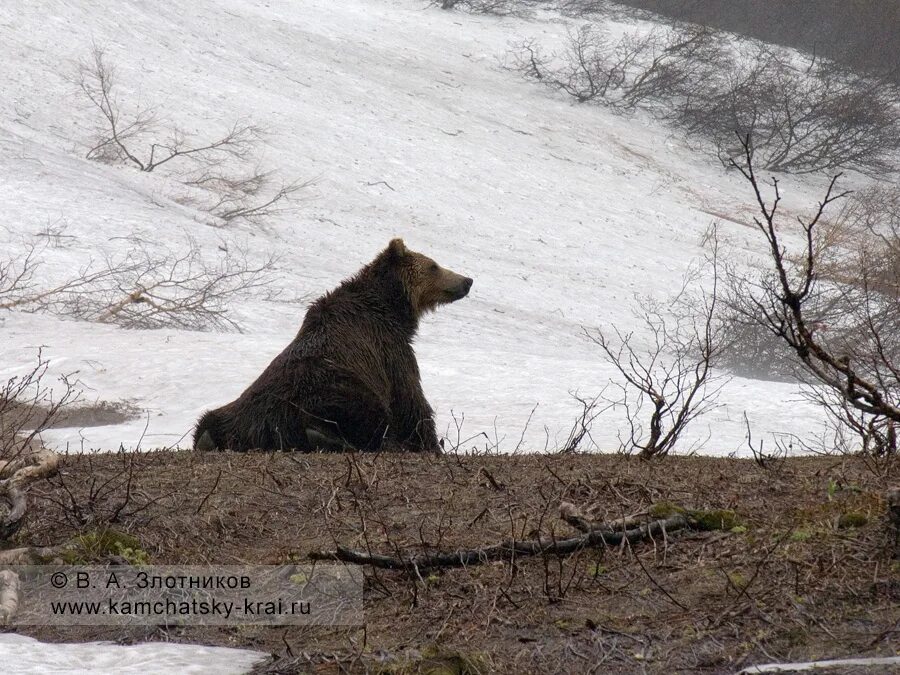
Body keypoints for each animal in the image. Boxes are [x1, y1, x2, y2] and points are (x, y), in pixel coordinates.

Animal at [193, 238, 474, 454]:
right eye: (434, 266)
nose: (467, 280)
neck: (389, 307)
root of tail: (264, 426)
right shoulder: (388, 348)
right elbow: (409, 398)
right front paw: (431, 443)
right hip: (331, 390)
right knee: (368, 418)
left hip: (236, 410)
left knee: (207, 421)